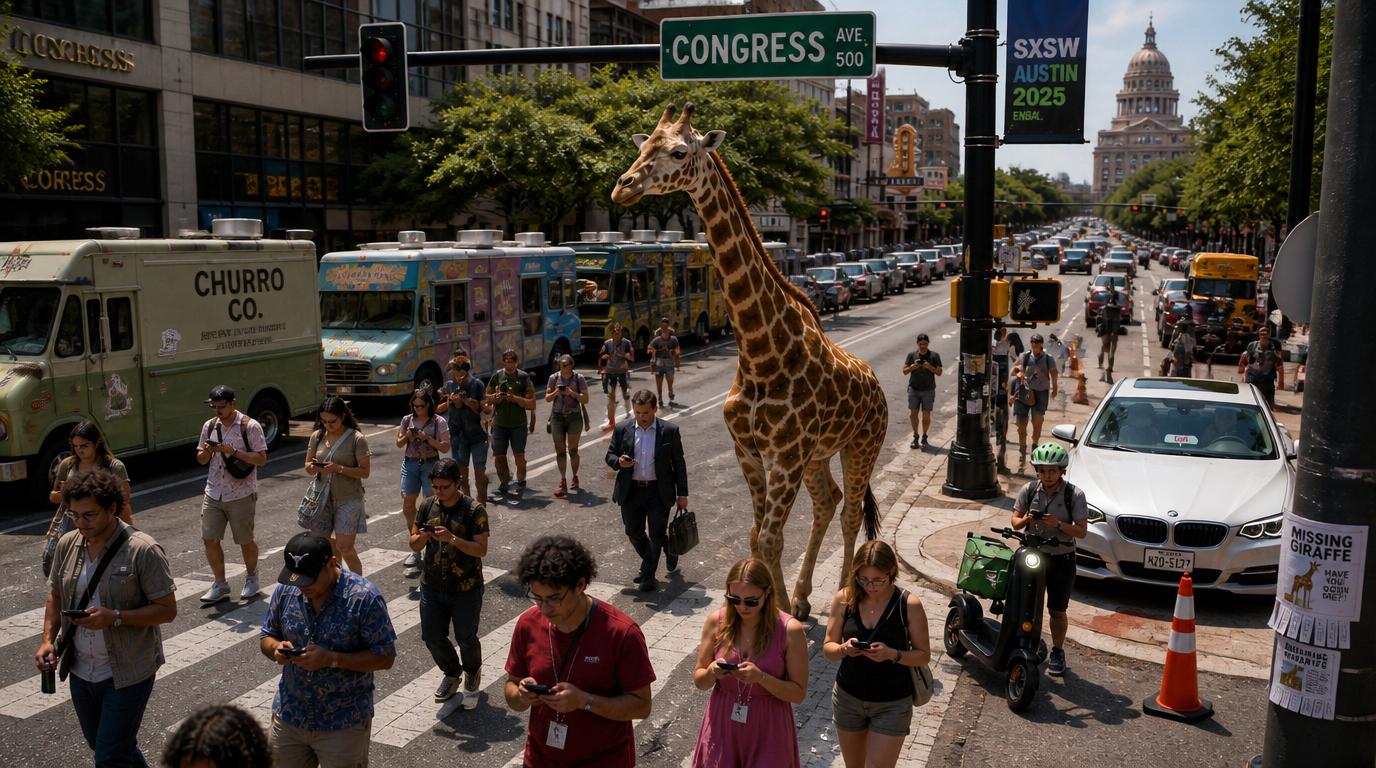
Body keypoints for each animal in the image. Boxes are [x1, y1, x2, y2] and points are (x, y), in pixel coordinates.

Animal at [612, 104, 888, 619]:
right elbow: (756, 536)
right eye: (643, 146)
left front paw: (777, 616)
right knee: (828, 503)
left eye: (679, 152)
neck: (760, 352)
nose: (624, 186)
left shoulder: (784, 457)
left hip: (863, 444)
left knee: (850, 513)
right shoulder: (750, 453)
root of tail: (878, 384)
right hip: (818, 455)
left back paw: (844, 597)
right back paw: (803, 597)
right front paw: (778, 606)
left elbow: (772, 539)